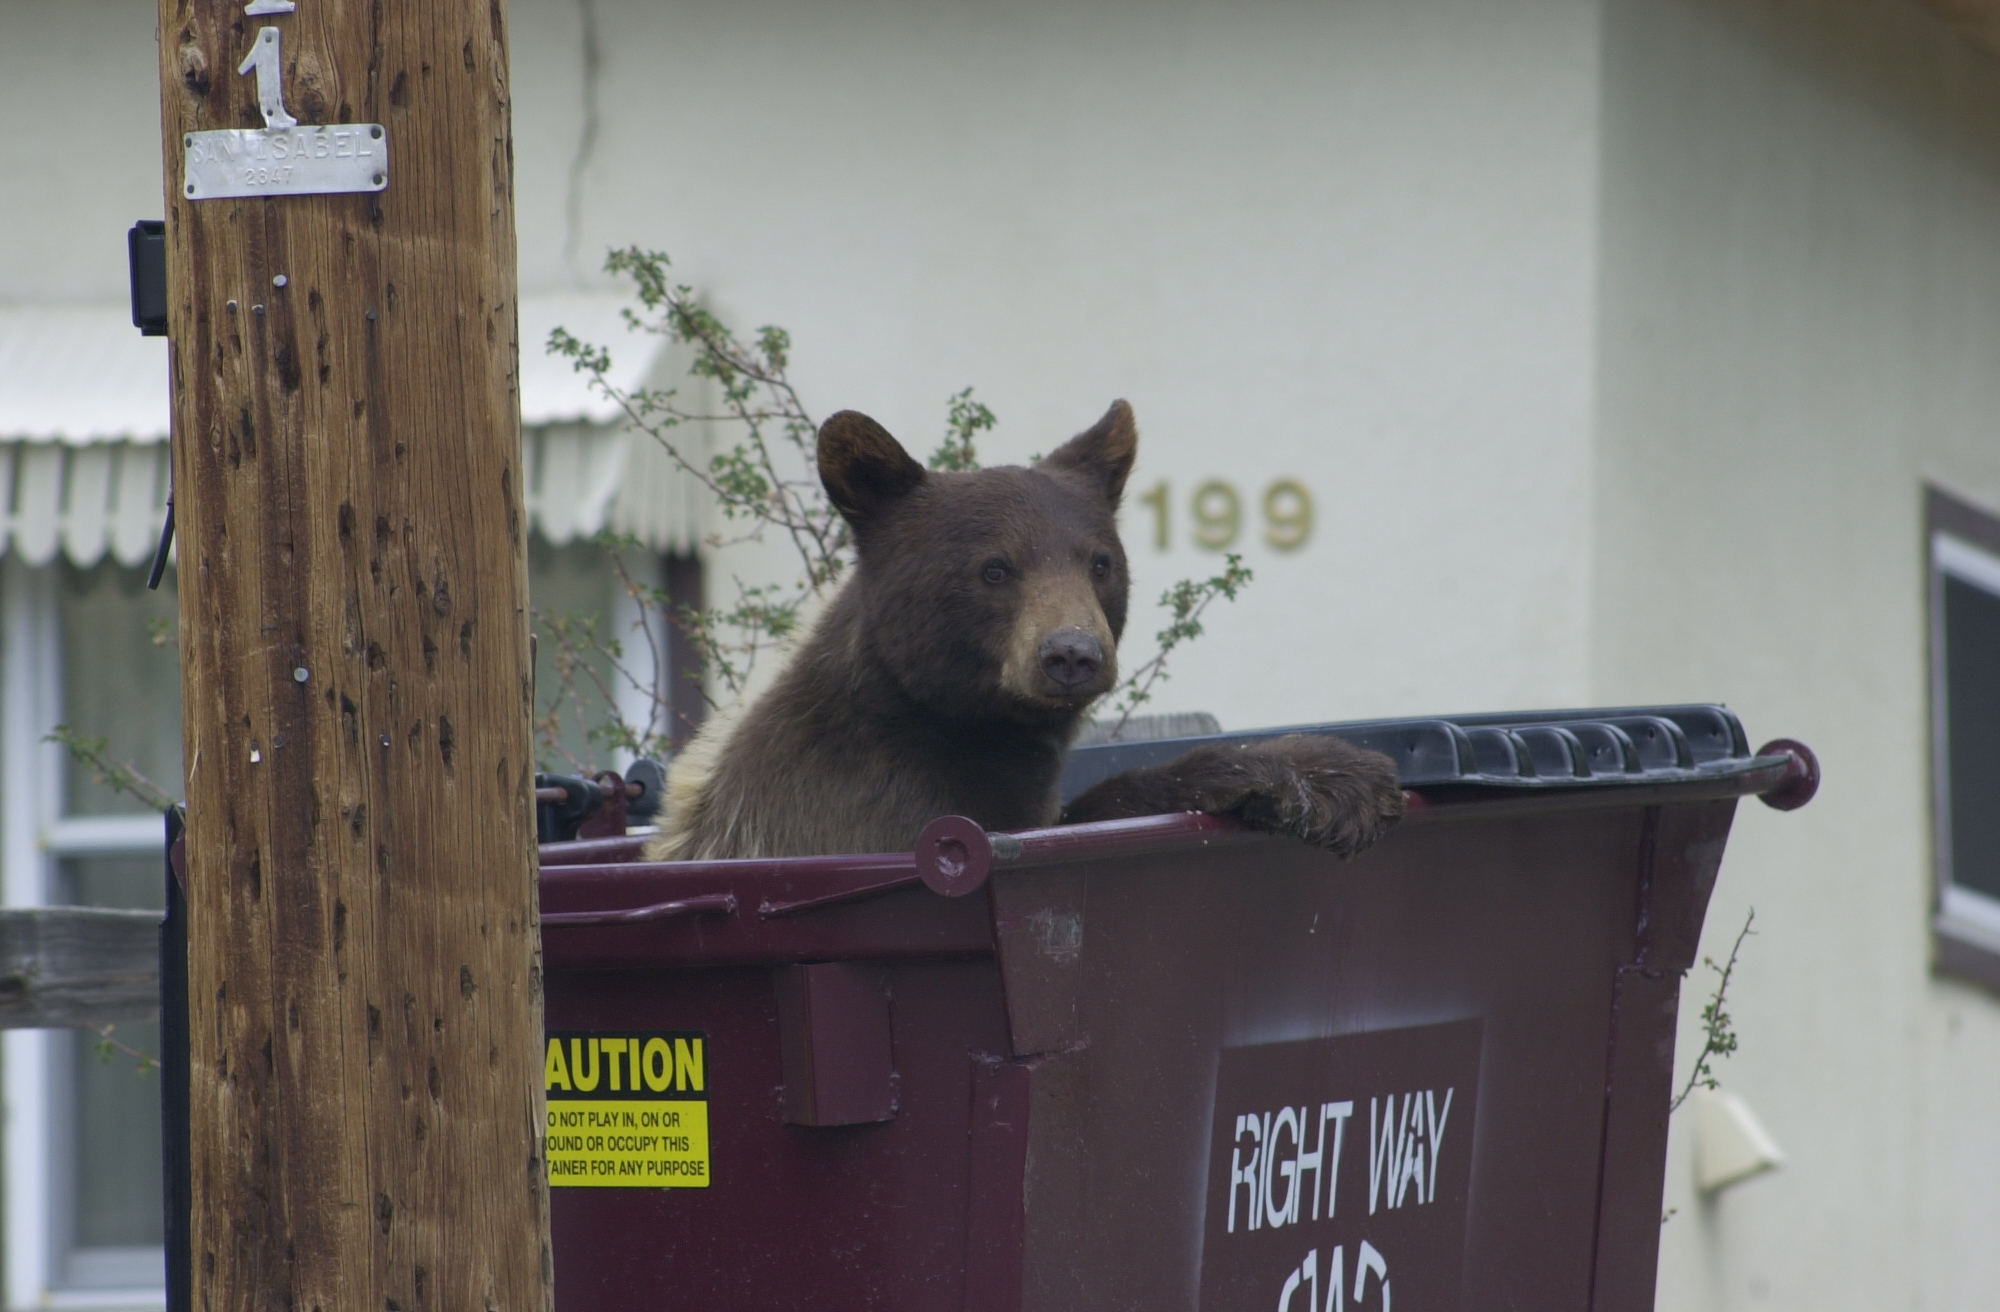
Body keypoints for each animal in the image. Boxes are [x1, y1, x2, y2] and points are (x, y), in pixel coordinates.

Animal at [648, 400, 1404, 861]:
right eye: (993, 568)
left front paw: (1334, 775)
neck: (954, 725)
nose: (1071, 654)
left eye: (1099, 562)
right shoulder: (858, 811)